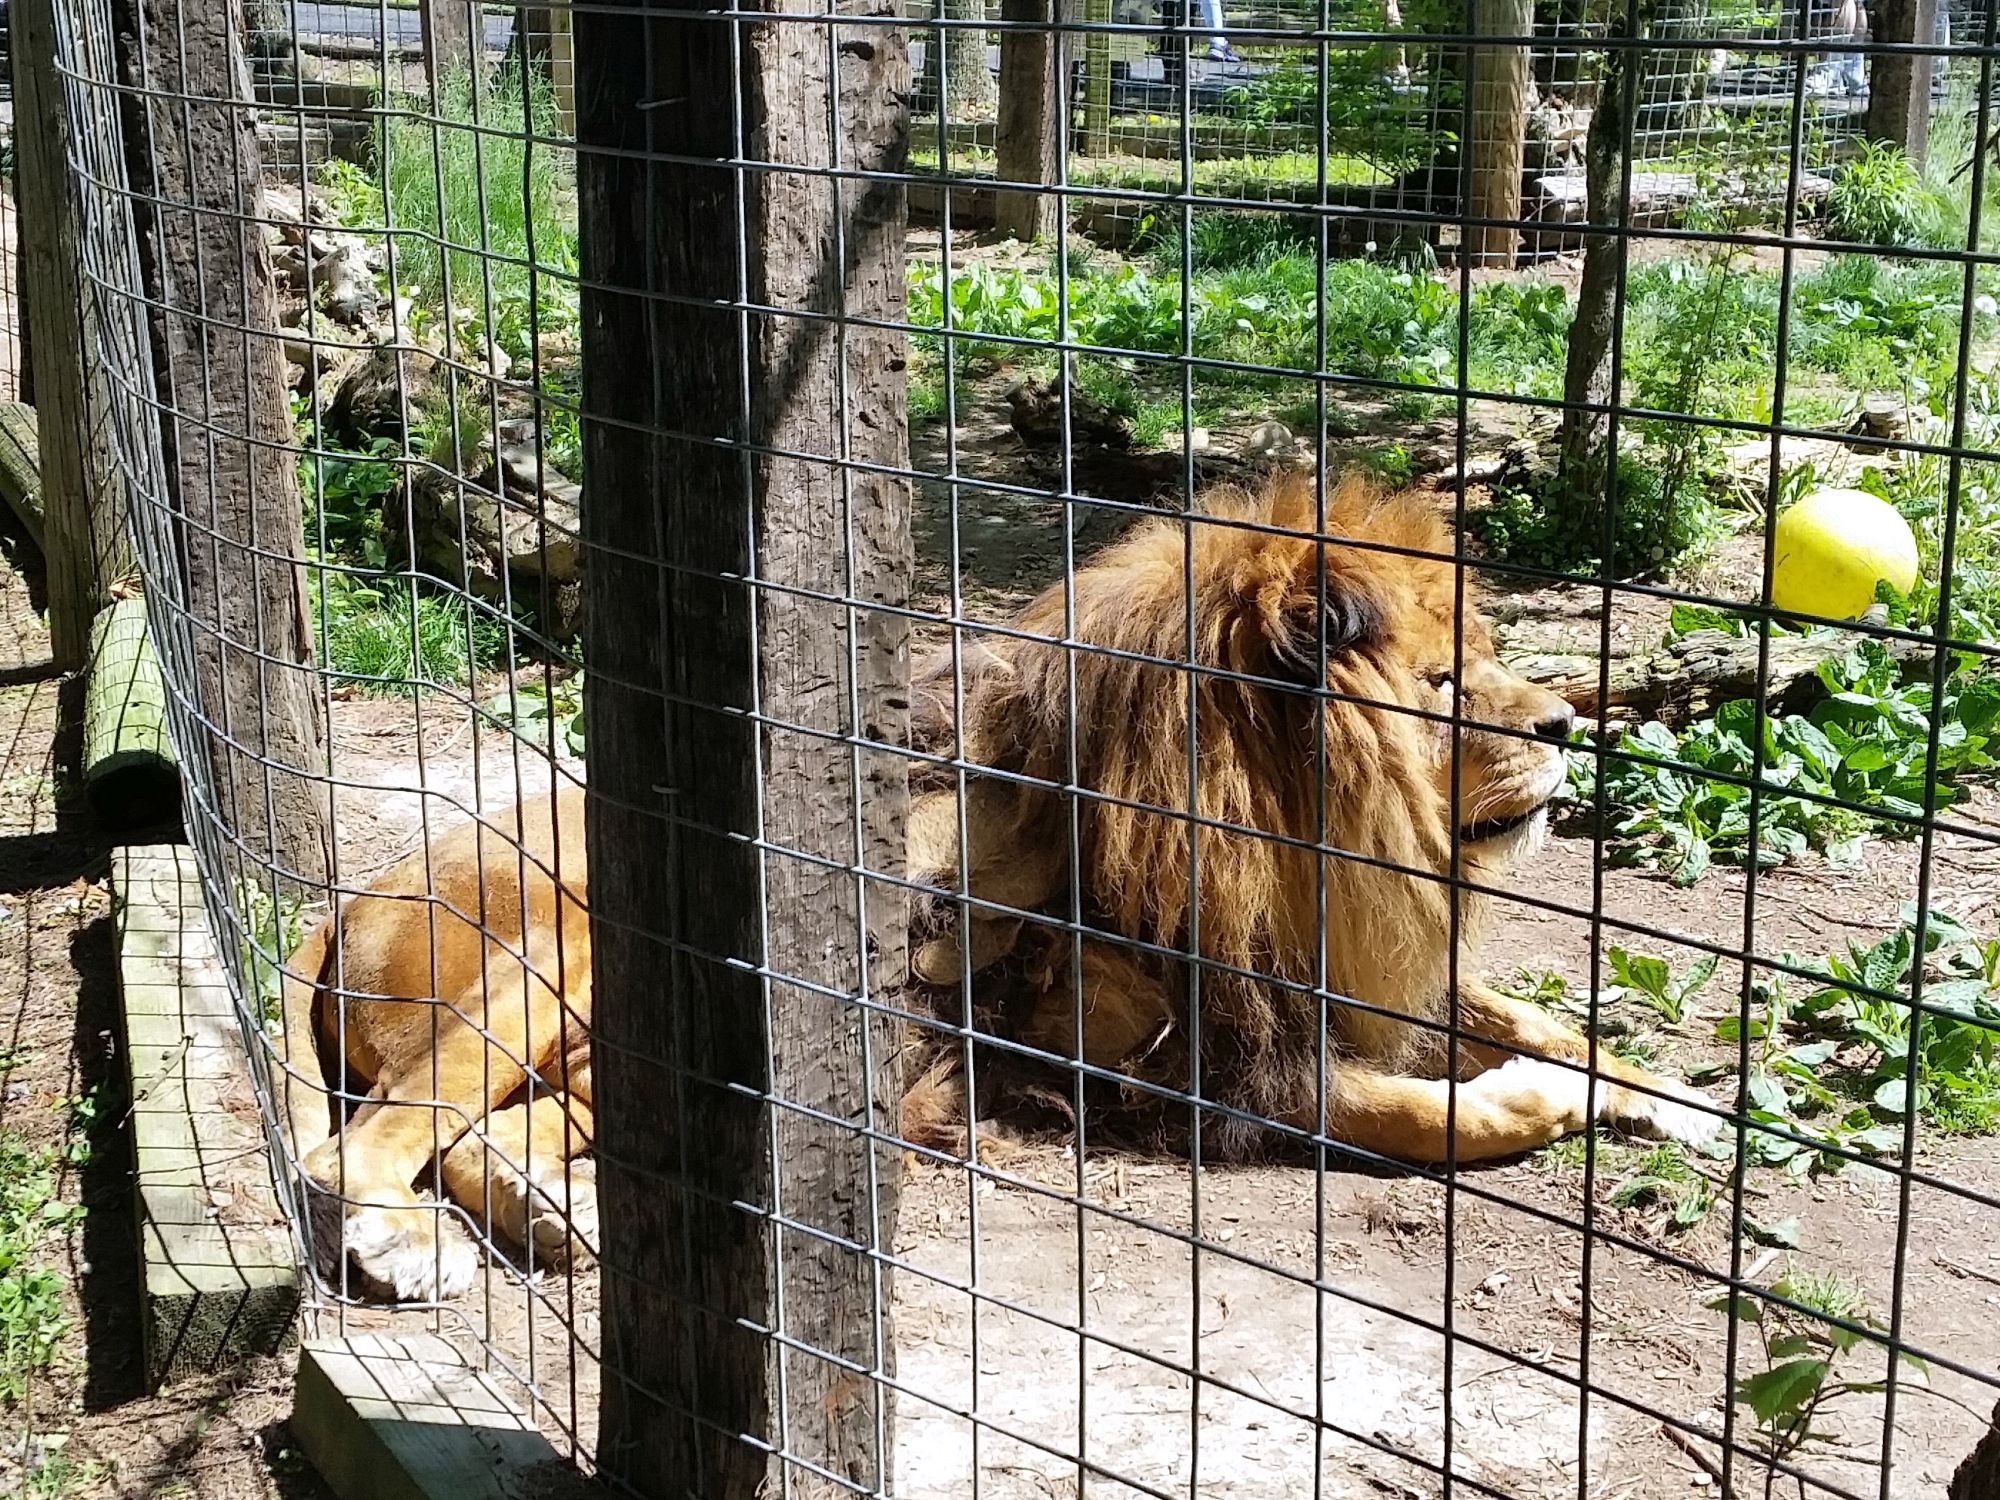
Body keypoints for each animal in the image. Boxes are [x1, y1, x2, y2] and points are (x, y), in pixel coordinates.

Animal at [282, 472, 1720, 1304]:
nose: (1567, 725)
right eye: (1443, 683)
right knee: (369, 1140)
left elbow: (1533, 1018)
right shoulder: (1182, 1067)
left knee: (488, 1140)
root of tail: (351, 895)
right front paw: (1544, 1101)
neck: (1296, 843)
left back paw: (558, 1220)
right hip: (555, 953)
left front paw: (1677, 1098)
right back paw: (406, 1246)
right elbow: (1433, 1118)